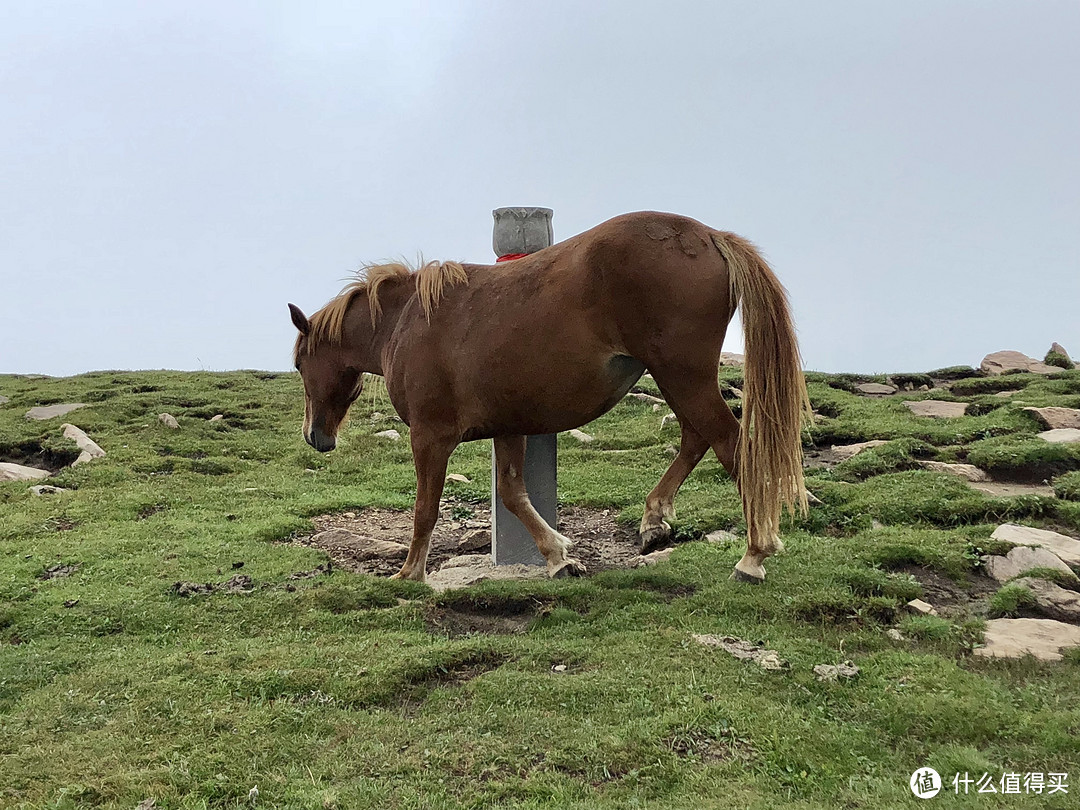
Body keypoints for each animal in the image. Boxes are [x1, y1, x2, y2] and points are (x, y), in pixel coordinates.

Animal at [289, 210, 812, 583]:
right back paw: (655, 519)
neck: (406, 321)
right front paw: (558, 557)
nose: (316, 436)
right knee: (696, 438)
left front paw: (408, 574)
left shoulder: (430, 436)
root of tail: (707, 235)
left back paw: (754, 555)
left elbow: (425, 510)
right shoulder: (507, 426)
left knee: (730, 445)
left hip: (683, 376)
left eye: (298, 365)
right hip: (679, 380)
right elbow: (513, 494)